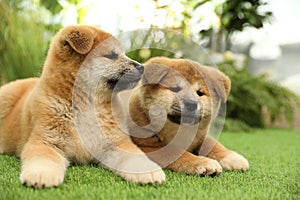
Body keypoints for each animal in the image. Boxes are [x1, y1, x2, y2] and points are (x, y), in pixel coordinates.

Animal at [0, 25, 165, 188]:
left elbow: (135, 157)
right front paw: (41, 175)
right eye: (111, 55)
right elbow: (44, 159)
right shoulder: (45, 141)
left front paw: (149, 172)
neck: (87, 106)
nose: (142, 67)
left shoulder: (115, 143)